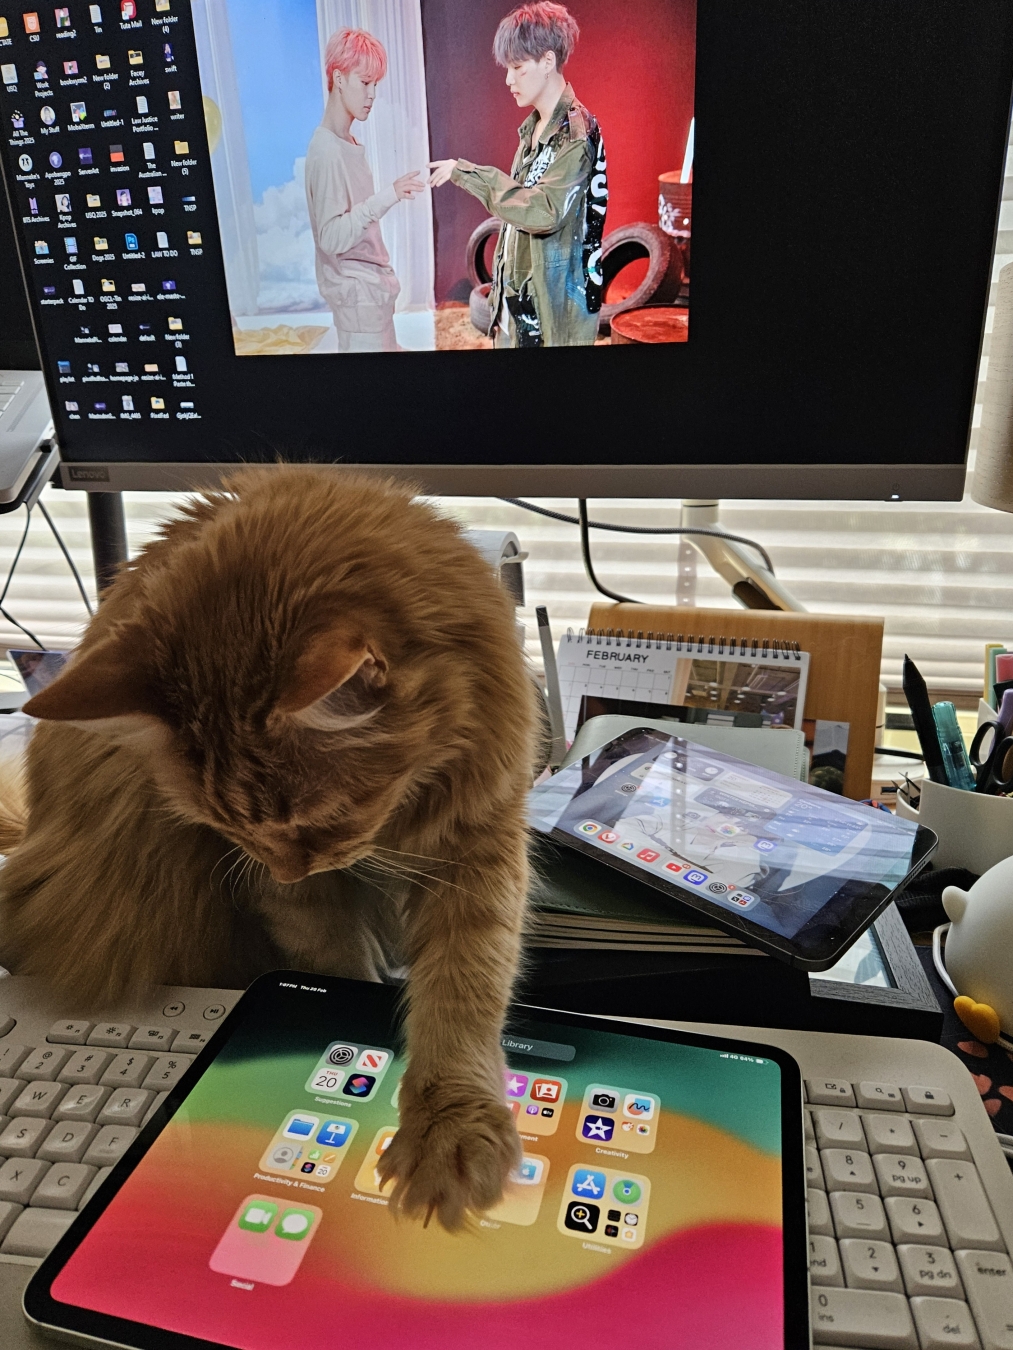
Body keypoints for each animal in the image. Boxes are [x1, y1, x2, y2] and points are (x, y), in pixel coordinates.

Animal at [0, 467, 540, 1236]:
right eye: (230, 827)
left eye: (324, 821)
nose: (289, 865)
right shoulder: (291, 900)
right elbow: (340, 965)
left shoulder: (479, 842)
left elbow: (463, 991)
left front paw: (450, 1127)